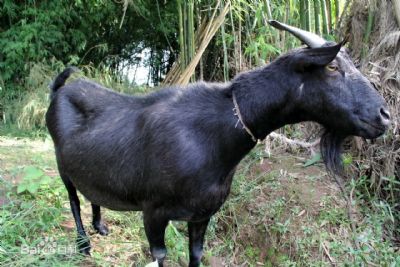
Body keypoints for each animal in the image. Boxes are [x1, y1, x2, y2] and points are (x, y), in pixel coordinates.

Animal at [45, 21, 390, 267]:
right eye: (332, 67)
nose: (384, 115)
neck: (215, 138)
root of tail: (59, 89)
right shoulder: (153, 212)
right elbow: (160, 256)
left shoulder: (202, 214)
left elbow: (196, 255)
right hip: (61, 163)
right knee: (72, 199)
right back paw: (83, 244)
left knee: (91, 191)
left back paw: (99, 225)